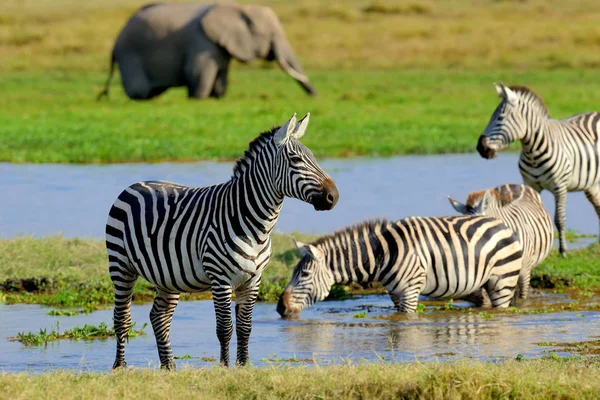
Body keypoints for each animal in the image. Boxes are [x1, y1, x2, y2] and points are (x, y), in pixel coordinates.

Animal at [96, 2, 316, 101]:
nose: (315, 96)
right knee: (139, 90)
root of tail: (114, 45)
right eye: (271, 35)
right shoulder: (202, 43)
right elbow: (198, 73)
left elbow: (221, 76)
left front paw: (217, 97)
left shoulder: (220, 46)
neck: (236, 7)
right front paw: (197, 98)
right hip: (129, 53)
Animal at [106, 112, 340, 368]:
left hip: (168, 276)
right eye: (296, 160)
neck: (255, 226)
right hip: (121, 266)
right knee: (121, 317)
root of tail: (136, 184)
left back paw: (169, 368)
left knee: (159, 316)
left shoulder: (253, 280)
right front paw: (224, 367)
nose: (334, 196)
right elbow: (225, 328)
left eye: (313, 157)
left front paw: (243, 366)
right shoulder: (220, 279)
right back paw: (120, 367)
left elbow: (245, 327)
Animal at [276, 214, 520, 318]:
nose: (279, 308)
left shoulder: (410, 291)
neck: (382, 255)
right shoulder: (394, 293)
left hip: (503, 282)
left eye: (305, 274)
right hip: (482, 284)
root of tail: (501, 224)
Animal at [478, 83, 600, 256]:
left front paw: (563, 251)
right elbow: (531, 215)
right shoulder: (531, 185)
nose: (480, 148)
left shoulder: (560, 187)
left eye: (500, 118)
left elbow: (559, 219)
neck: (532, 152)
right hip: (592, 184)